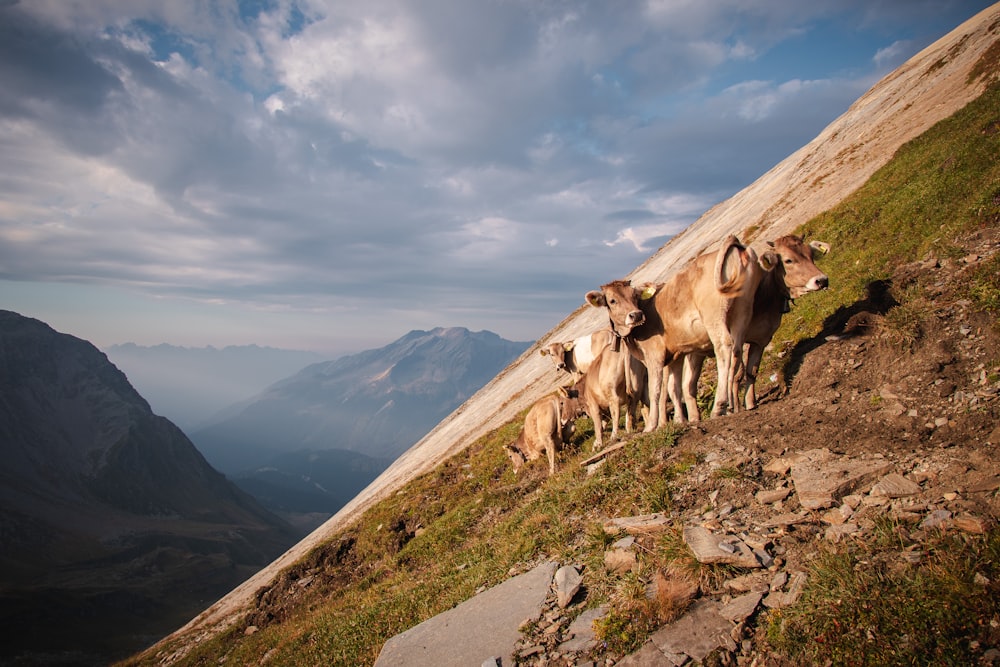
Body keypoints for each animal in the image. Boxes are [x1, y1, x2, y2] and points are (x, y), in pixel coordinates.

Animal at [584, 235, 764, 430]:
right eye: (612, 300)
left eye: (634, 296)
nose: (636, 315)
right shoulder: (676, 355)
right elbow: (673, 388)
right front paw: (679, 419)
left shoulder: (654, 355)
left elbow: (655, 390)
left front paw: (651, 426)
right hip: (743, 310)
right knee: (737, 351)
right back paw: (733, 406)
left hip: (713, 315)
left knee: (724, 348)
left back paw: (719, 406)